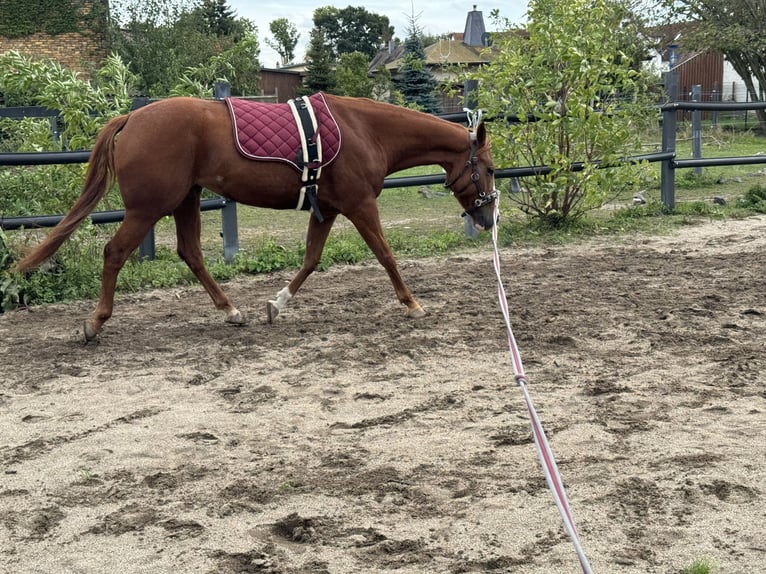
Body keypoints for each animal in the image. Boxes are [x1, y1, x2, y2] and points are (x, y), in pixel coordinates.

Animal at [15, 93, 497, 340]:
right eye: (491, 169)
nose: (489, 219)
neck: (364, 130)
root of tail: (133, 116)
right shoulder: (360, 205)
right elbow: (385, 255)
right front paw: (413, 304)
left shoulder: (328, 209)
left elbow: (310, 260)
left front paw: (275, 305)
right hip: (148, 209)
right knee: (115, 252)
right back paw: (95, 322)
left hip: (186, 200)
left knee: (191, 253)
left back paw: (232, 311)